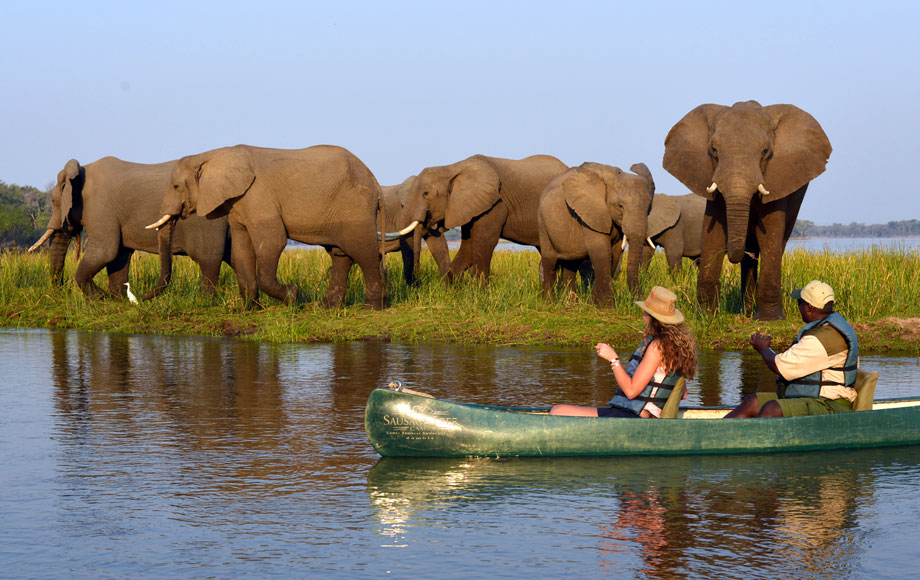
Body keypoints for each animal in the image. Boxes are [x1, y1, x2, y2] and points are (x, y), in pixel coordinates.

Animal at [29, 156, 232, 300]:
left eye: (53, 201)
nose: (59, 292)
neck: (82, 170)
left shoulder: (101, 208)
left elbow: (105, 252)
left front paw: (104, 298)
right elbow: (119, 257)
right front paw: (117, 298)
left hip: (208, 221)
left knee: (208, 260)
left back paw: (205, 301)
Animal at [146, 144, 382, 308]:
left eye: (176, 186)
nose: (142, 297)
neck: (213, 155)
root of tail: (375, 181)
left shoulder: (258, 197)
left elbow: (272, 242)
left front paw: (293, 295)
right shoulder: (238, 204)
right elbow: (242, 249)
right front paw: (249, 308)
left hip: (356, 207)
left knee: (364, 252)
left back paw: (370, 308)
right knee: (340, 254)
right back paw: (326, 307)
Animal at [400, 154, 568, 280]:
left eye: (425, 193)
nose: (418, 281)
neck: (453, 167)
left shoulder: (495, 204)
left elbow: (484, 242)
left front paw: (480, 295)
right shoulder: (469, 206)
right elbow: (468, 246)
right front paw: (455, 293)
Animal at [536, 159, 656, 304]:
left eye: (648, 207)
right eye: (620, 206)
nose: (640, 299)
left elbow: (615, 253)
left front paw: (594, 303)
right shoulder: (591, 214)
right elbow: (601, 251)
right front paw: (605, 306)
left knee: (571, 263)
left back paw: (570, 303)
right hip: (542, 221)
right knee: (550, 260)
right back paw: (549, 303)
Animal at [660, 101, 832, 320]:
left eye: (765, 151)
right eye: (713, 149)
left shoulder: (778, 179)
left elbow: (770, 236)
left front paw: (770, 319)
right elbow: (713, 234)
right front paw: (706, 316)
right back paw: (746, 311)